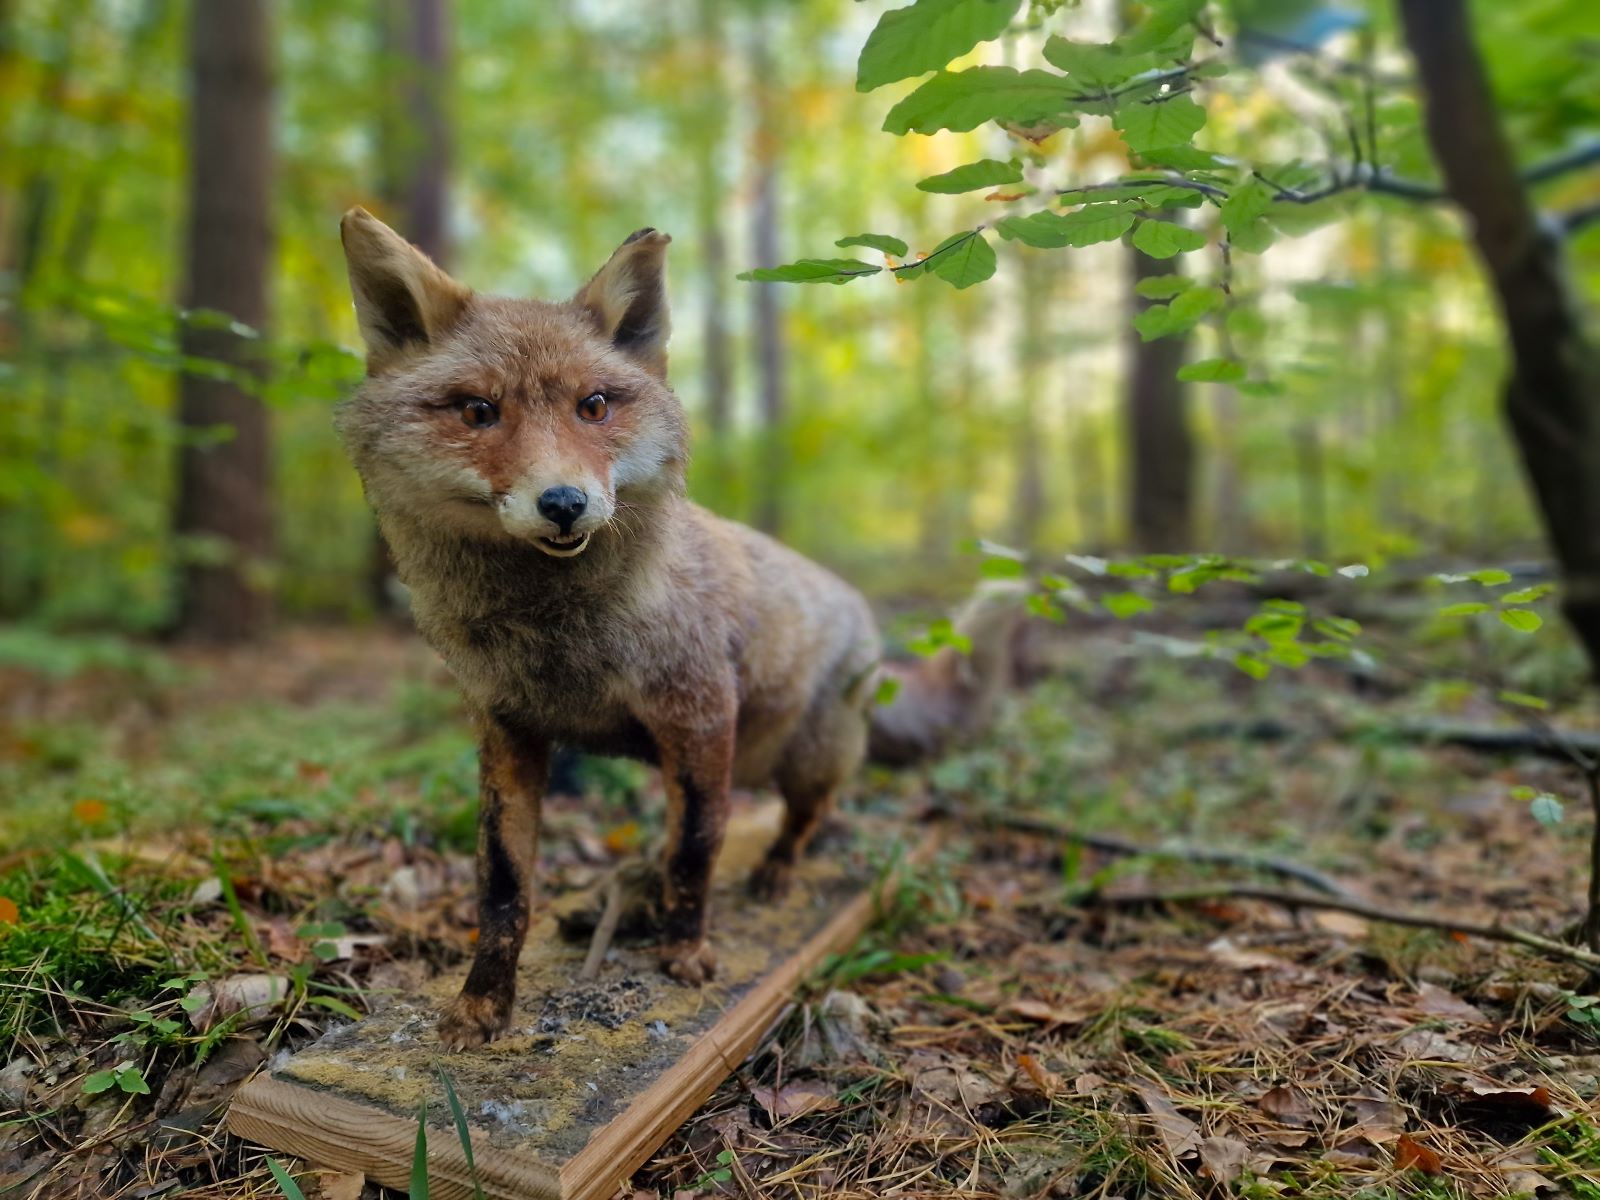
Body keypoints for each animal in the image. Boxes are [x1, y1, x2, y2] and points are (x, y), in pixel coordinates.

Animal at [335, 208, 1019, 1050]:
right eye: (477, 412)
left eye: (594, 406)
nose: (564, 503)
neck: (561, 640)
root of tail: (856, 604)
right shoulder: (508, 732)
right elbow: (503, 888)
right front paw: (484, 1002)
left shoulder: (699, 714)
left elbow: (697, 850)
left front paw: (686, 953)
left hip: (803, 758)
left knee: (806, 815)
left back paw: (774, 871)